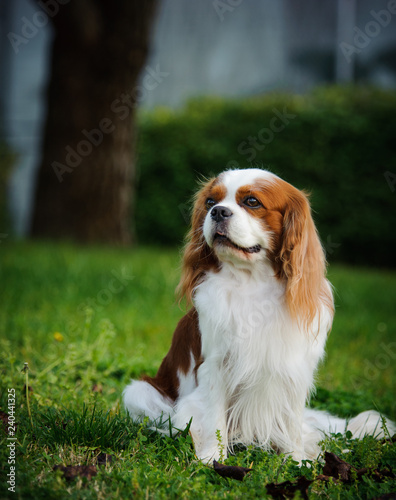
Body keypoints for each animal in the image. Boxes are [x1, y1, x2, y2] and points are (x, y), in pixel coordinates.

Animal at [123, 167, 392, 460]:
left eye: (252, 202)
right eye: (210, 202)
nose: (218, 211)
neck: (252, 281)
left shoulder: (294, 369)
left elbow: (292, 425)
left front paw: (297, 460)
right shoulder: (215, 366)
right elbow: (214, 419)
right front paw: (212, 458)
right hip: (139, 392)